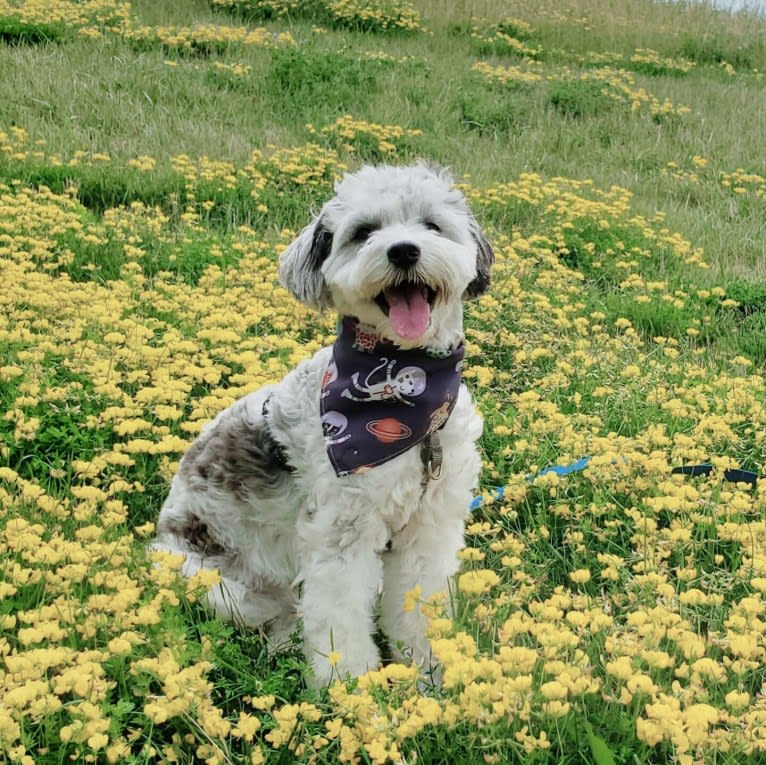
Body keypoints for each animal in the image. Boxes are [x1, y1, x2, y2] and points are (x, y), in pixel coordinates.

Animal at [153, 163, 496, 688]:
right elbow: (340, 619)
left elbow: (419, 607)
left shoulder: (428, 529)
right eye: (364, 232)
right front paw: (352, 691)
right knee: (278, 613)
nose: (404, 250)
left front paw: (428, 676)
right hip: (215, 584)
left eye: (431, 225)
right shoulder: (339, 535)